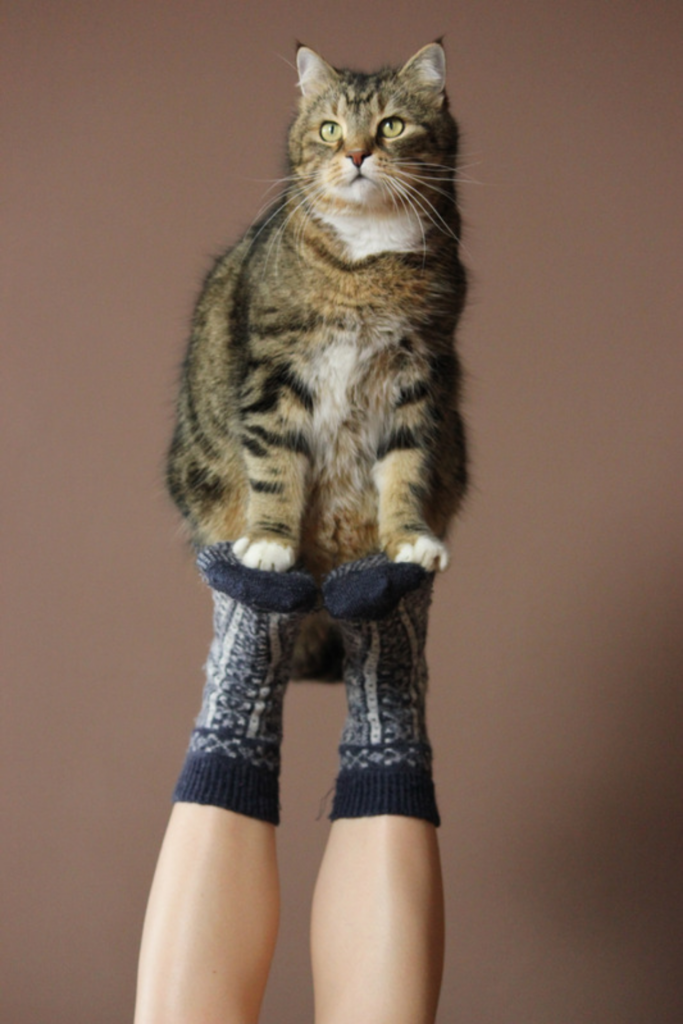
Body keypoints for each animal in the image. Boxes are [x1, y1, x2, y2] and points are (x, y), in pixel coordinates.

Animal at [166, 41, 471, 679]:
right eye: (330, 129)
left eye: (391, 125)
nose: (356, 154)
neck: (368, 260)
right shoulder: (274, 372)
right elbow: (275, 464)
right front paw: (270, 544)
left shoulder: (420, 374)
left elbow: (408, 466)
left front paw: (408, 541)